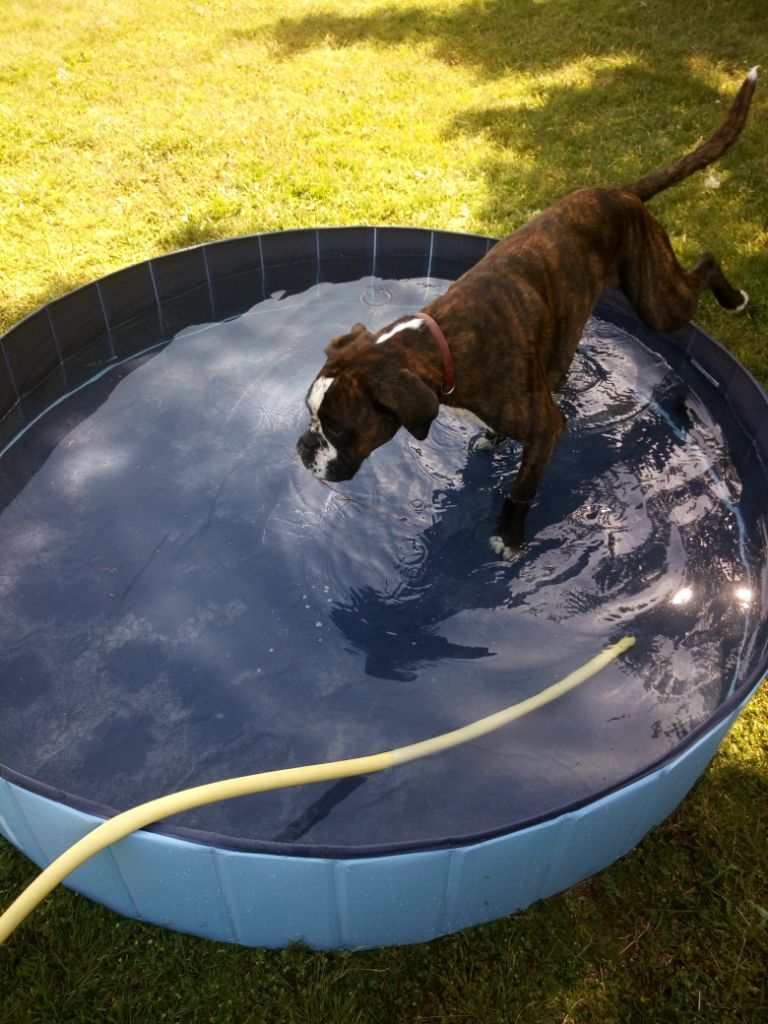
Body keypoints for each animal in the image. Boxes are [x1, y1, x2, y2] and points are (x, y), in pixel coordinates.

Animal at [296, 70, 761, 561]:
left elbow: (520, 491)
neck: (442, 345)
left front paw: (509, 536)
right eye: (311, 419)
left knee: (704, 265)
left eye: (337, 429)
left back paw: (733, 299)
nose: (304, 447)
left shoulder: (547, 430)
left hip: (658, 302)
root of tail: (620, 193)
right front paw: (493, 439)